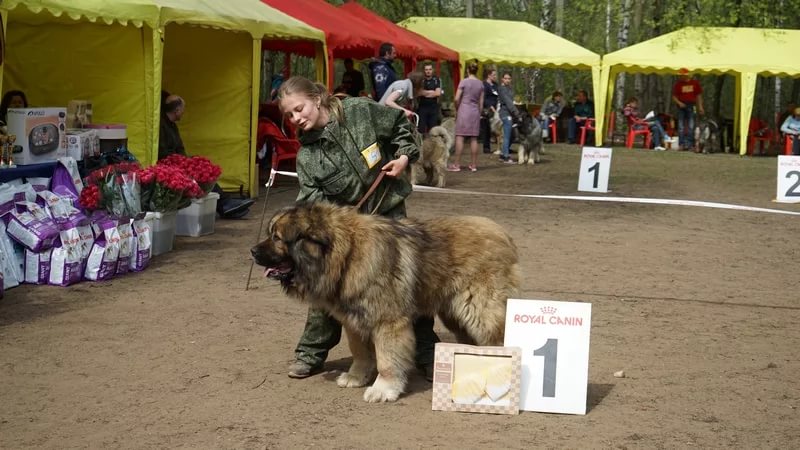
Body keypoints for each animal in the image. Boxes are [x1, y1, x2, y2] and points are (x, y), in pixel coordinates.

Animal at [251, 202, 520, 403]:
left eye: (277, 238)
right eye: (270, 234)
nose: (252, 251)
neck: (347, 255)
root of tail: (504, 234)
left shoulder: (388, 322)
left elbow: (387, 360)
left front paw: (383, 389)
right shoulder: (354, 320)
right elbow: (360, 353)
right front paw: (356, 377)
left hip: (479, 309)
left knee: (499, 339)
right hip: (454, 313)